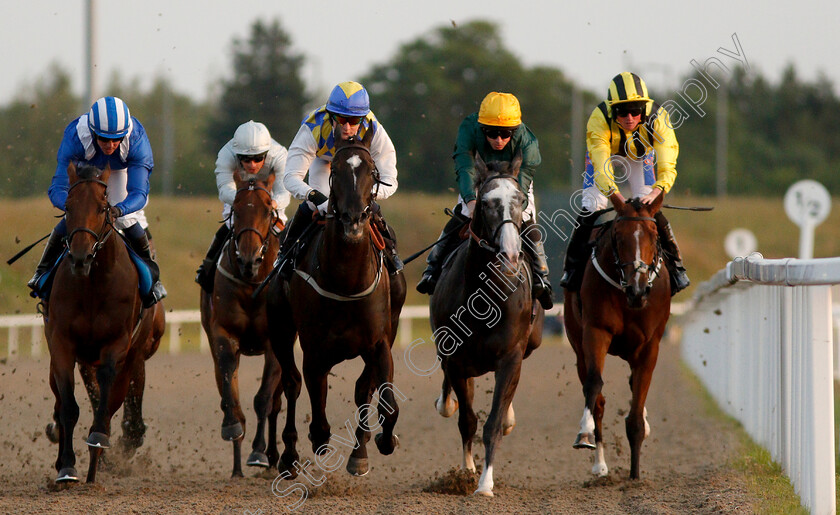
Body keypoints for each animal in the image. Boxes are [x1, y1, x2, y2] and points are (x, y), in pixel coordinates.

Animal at [43, 164, 165, 484]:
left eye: (102, 208)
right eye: (68, 207)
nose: (80, 257)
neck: (93, 285)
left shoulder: (117, 346)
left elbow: (105, 404)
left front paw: (98, 443)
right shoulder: (62, 344)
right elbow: (68, 407)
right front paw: (67, 466)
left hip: (131, 354)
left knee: (114, 403)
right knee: (63, 401)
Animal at [200, 167, 286, 478]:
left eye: (268, 209)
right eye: (236, 209)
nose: (249, 260)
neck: (252, 284)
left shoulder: (275, 342)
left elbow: (264, 399)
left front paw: (259, 452)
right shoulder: (223, 335)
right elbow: (229, 388)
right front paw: (232, 426)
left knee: (277, 402)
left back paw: (272, 459)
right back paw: (237, 466)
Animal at [264, 130, 406, 480]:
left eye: (371, 171)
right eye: (336, 170)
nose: (353, 220)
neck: (346, 282)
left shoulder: (380, 342)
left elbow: (383, 401)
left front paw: (377, 444)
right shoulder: (315, 350)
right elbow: (317, 415)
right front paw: (314, 443)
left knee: (361, 388)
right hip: (281, 330)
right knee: (291, 384)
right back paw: (288, 457)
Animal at [426, 149, 544, 496]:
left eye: (519, 199)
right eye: (486, 202)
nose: (510, 254)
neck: (485, 298)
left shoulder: (510, 357)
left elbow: (492, 424)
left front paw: (485, 484)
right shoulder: (455, 358)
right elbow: (466, 420)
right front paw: (467, 474)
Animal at [564, 192, 668, 480]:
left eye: (654, 234)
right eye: (618, 236)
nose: (638, 290)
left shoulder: (650, 346)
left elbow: (635, 412)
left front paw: (635, 475)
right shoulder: (595, 333)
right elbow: (594, 386)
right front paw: (585, 434)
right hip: (578, 344)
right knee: (597, 398)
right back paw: (599, 464)